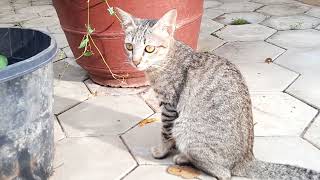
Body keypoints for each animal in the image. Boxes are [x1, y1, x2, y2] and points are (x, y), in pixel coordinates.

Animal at [116, 7, 320, 179]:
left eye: (149, 48)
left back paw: (184, 158)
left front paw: (162, 151)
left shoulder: (169, 106)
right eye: (129, 46)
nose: (135, 61)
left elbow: (165, 133)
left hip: (186, 127)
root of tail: (247, 159)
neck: (165, 61)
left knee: (224, 173)